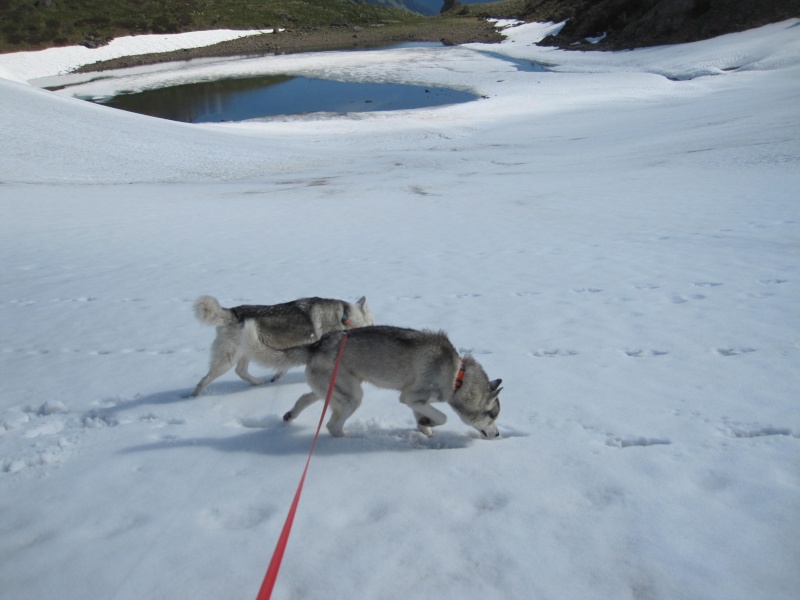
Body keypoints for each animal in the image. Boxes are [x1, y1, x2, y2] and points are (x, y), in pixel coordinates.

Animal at [192, 296, 374, 398]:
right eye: (372, 323)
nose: (375, 328)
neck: (343, 316)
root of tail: (232, 312)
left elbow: (283, 367)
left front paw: (276, 378)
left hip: (247, 350)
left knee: (240, 371)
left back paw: (257, 383)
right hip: (227, 359)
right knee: (205, 379)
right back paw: (194, 397)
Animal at [284, 326, 504, 438]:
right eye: (492, 417)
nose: (498, 434)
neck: (458, 375)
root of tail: (317, 344)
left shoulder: (418, 402)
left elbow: (426, 418)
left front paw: (425, 426)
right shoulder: (410, 397)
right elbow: (443, 417)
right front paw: (429, 424)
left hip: (331, 388)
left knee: (305, 397)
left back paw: (290, 414)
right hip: (353, 396)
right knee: (332, 426)